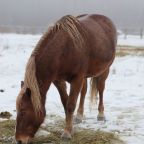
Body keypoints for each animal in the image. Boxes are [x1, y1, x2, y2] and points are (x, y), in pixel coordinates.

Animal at [15, 13, 116, 143]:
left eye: (23, 112)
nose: (19, 140)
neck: (65, 48)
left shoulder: (77, 78)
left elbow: (70, 105)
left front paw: (67, 133)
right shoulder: (58, 80)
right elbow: (65, 102)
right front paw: (70, 127)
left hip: (104, 71)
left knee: (101, 89)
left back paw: (101, 114)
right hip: (85, 77)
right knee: (84, 91)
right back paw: (79, 115)